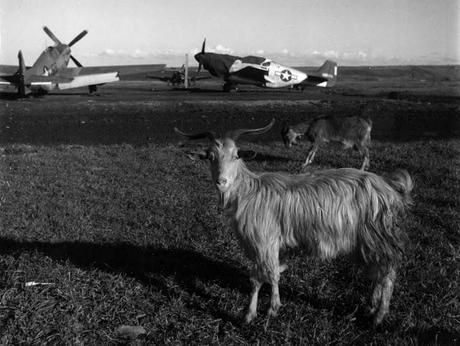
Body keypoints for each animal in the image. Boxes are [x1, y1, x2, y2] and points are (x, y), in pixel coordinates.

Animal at [175, 119, 414, 328]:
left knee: (388, 274)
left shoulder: (265, 241)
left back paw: (378, 317)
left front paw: (261, 311)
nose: (221, 181)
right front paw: (264, 306)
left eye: (236, 156)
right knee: (378, 273)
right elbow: (269, 273)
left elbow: (262, 276)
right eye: (210, 157)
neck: (249, 192)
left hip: (378, 236)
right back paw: (371, 308)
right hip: (367, 242)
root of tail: (391, 188)